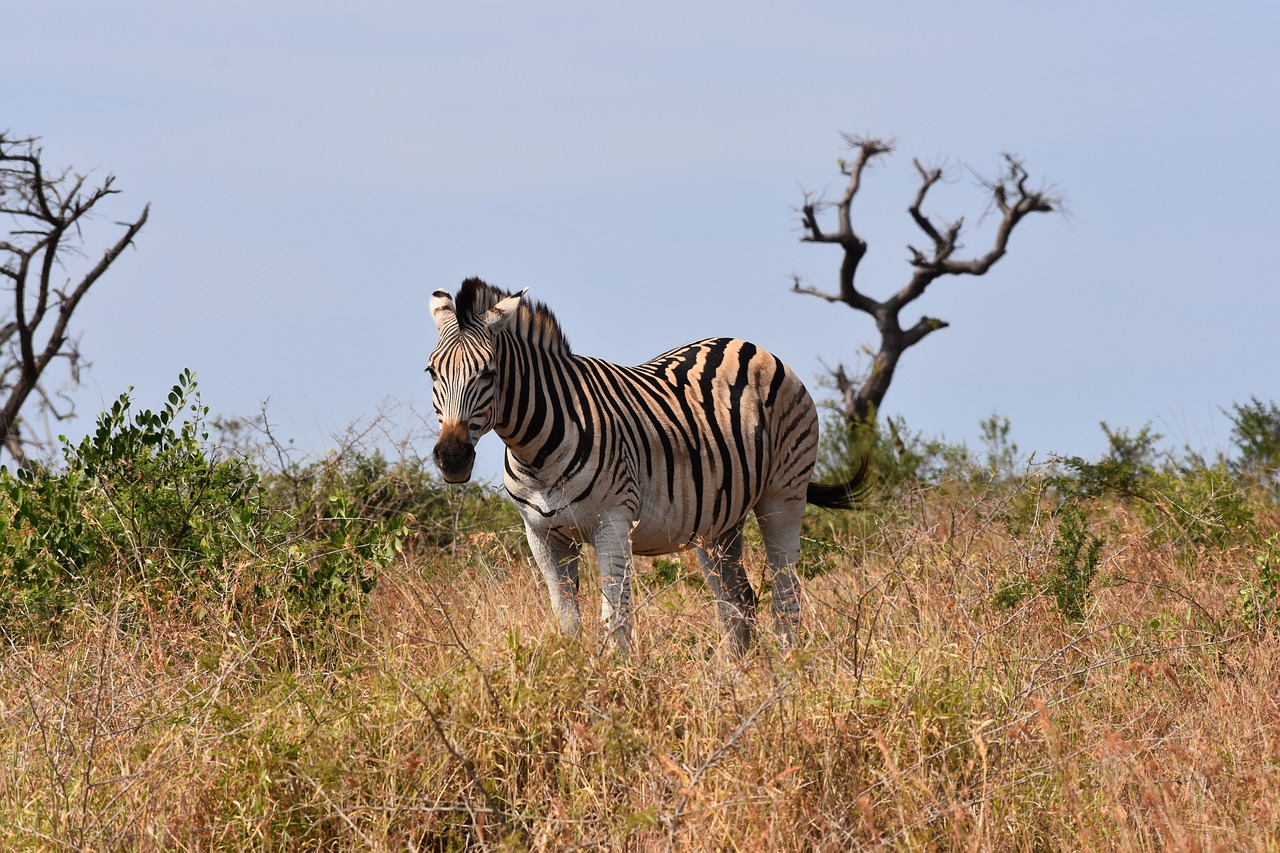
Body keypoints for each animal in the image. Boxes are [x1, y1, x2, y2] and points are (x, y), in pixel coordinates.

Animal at [427, 278, 865, 655]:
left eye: (489, 373)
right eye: (430, 371)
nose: (452, 457)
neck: (536, 453)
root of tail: (749, 345)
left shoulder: (612, 522)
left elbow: (615, 619)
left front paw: (620, 683)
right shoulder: (542, 535)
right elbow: (568, 621)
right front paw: (577, 678)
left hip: (783, 495)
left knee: (786, 595)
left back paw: (788, 672)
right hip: (719, 521)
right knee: (737, 602)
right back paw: (740, 679)